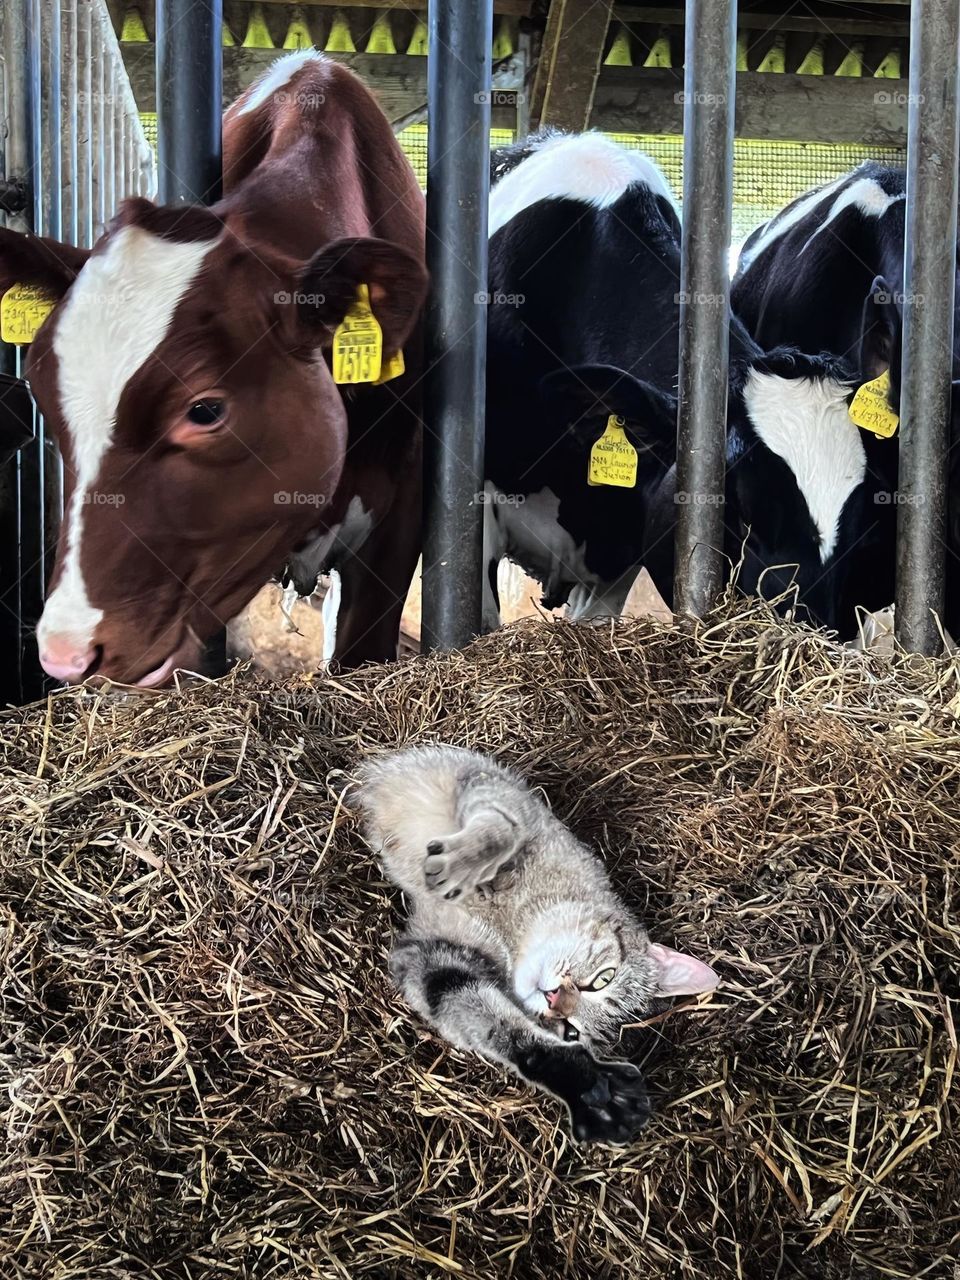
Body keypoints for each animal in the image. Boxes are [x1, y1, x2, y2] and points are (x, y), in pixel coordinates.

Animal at [358, 747, 716, 1146]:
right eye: (603, 979)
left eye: (571, 1031)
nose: (553, 999)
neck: (511, 929)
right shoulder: (493, 788)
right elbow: (503, 828)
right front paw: (462, 865)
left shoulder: (424, 956)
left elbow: (501, 1028)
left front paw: (587, 1087)